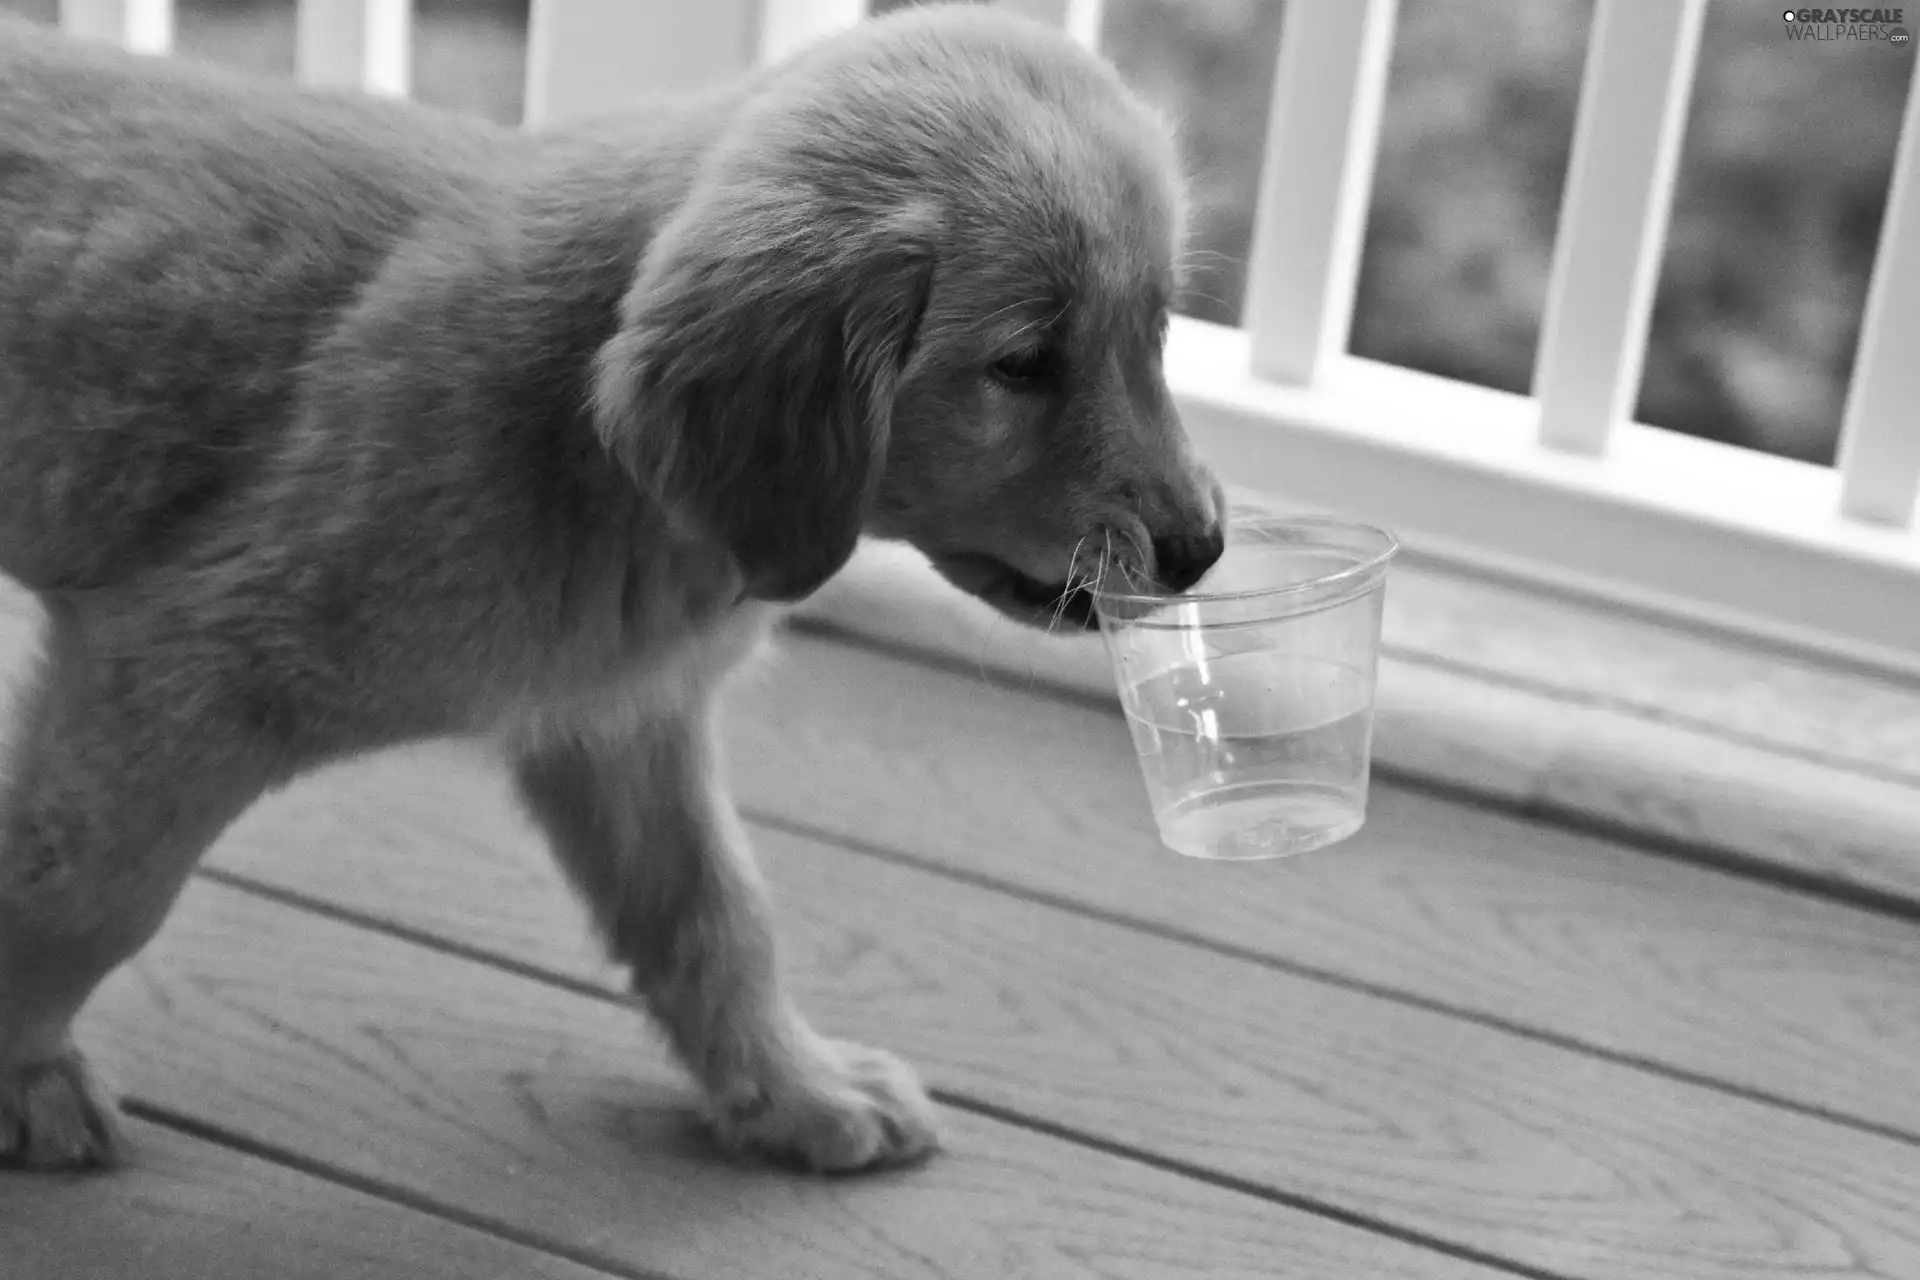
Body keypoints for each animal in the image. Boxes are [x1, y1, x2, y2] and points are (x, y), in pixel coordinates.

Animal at [0, 5, 1228, 1174]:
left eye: (1158, 330)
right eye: (1021, 364)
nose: (1202, 546)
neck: (592, 450)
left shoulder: (619, 713)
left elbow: (716, 916)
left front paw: (795, 1090)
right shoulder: (185, 663)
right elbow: (89, 898)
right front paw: (27, 1076)